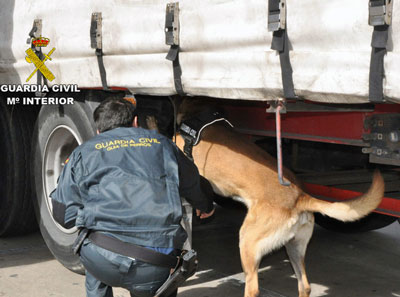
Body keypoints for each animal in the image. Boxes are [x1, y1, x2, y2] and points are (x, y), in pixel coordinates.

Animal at [172, 98, 384, 296]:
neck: (199, 111)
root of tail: (301, 197)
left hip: (247, 242)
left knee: (253, 288)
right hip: (294, 248)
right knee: (305, 286)